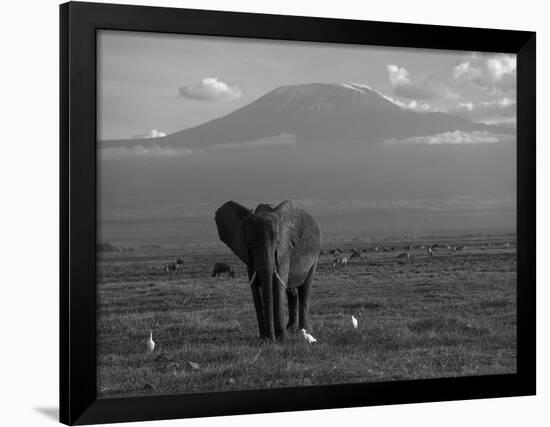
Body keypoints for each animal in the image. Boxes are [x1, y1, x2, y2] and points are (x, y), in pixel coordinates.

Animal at [213, 200, 322, 342]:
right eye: (250, 244)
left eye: (277, 242)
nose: (271, 339)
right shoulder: (249, 257)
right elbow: (255, 288)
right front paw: (264, 339)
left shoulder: (284, 250)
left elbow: (277, 286)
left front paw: (282, 339)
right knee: (291, 291)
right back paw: (291, 330)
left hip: (315, 256)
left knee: (305, 288)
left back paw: (305, 331)